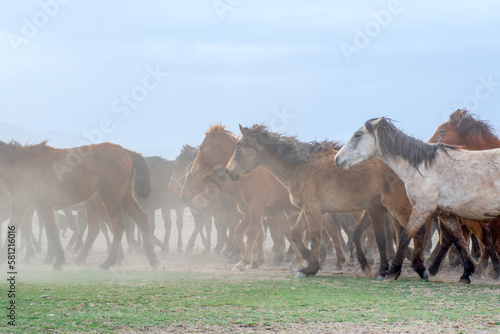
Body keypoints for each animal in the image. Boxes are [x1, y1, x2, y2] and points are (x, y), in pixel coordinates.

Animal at [0, 140, 157, 270]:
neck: (20, 161)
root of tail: (126, 152)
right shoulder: (38, 204)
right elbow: (50, 229)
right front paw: (58, 259)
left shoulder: (26, 202)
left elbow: (18, 227)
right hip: (123, 197)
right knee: (141, 218)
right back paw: (152, 259)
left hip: (109, 198)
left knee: (116, 225)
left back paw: (107, 261)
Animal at [225, 124, 424, 278]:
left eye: (238, 147)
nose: (228, 171)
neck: (300, 166)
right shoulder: (306, 209)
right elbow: (295, 233)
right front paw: (306, 261)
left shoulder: (312, 209)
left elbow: (314, 236)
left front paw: (309, 267)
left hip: (397, 207)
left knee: (415, 231)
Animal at [334, 116, 500, 284]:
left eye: (357, 135)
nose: (337, 159)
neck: (423, 167)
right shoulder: (446, 214)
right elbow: (458, 240)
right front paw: (466, 274)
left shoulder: (422, 208)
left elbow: (405, 235)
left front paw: (393, 272)